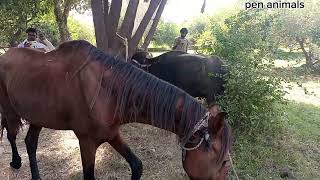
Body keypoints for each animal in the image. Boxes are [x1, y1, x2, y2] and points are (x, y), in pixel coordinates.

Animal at [0, 40, 232, 179]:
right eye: (224, 163)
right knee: (11, 135)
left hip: (38, 117)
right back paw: (15, 161)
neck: (107, 89)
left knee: (30, 143)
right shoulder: (87, 142)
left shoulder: (111, 134)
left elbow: (137, 165)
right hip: (9, 110)